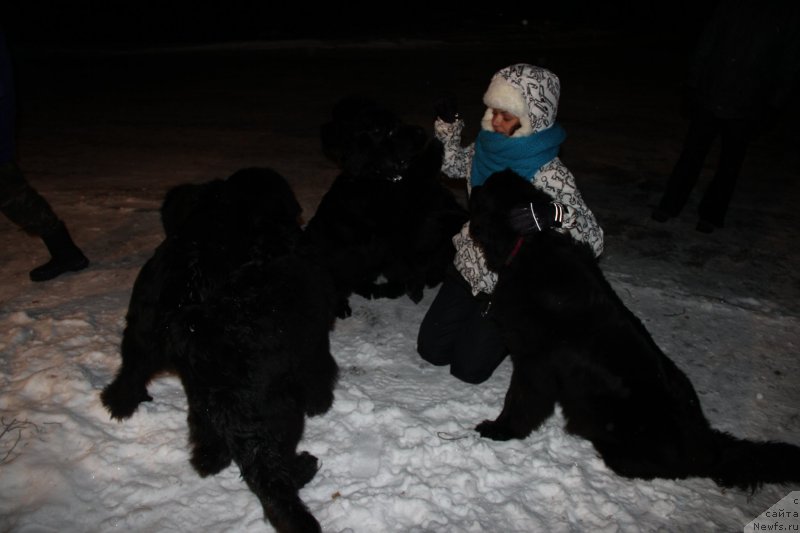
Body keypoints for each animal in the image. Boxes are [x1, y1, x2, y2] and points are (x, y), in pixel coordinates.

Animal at [100, 168, 338, 532]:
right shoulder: (313, 347)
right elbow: (320, 375)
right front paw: (322, 403)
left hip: (148, 342)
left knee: (135, 376)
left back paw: (124, 405)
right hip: (278, 416)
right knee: (270, 473)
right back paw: (301, 470)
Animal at [304, 94, 468, 316]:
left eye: (399, 122)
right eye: (390, 131)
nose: (422, 131)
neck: (376, 176)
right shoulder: (403, 207)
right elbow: (423, 167)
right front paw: (440, 135)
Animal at [468, 170, 800, 490]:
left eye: (486, 192)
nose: (475, 186)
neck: (531, 247)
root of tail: (707, 446)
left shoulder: (535, 364)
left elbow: (519, 402)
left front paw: (500, 430)